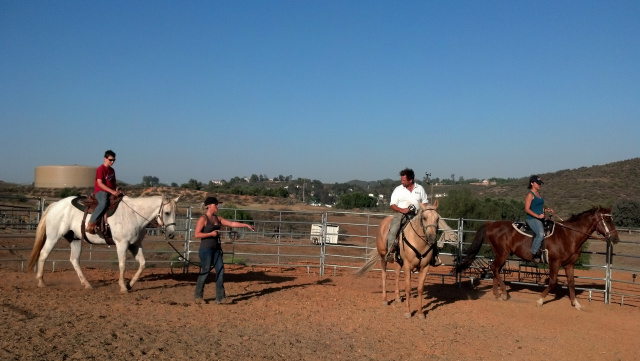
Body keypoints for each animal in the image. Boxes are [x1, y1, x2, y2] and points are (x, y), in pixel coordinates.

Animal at [26, 194, 178, 292]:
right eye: (167, 212)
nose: (171, 234)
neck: (134, 214)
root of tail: (55, 205)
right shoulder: (122, 244)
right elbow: (122, 265)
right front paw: (123, 287)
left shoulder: (135, 245)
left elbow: (142, 264)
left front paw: (130, 284)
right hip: (53, 237)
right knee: (43, 254)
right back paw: (41, 281)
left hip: (75, 239)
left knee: (74, 260)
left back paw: (86, 284)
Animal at [458, 205, 616, 310]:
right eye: (607, 221)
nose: (616, 238)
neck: (568, 235)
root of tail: (492, 224)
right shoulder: (555, 262)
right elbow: (552, 282)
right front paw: (540, 300)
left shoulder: (569, 264)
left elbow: (571, 283)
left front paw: (576, 303)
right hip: (502, 254)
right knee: (495, 268)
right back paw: (503, 294)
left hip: (501, 254)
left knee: (495, 269)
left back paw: (498, 294)